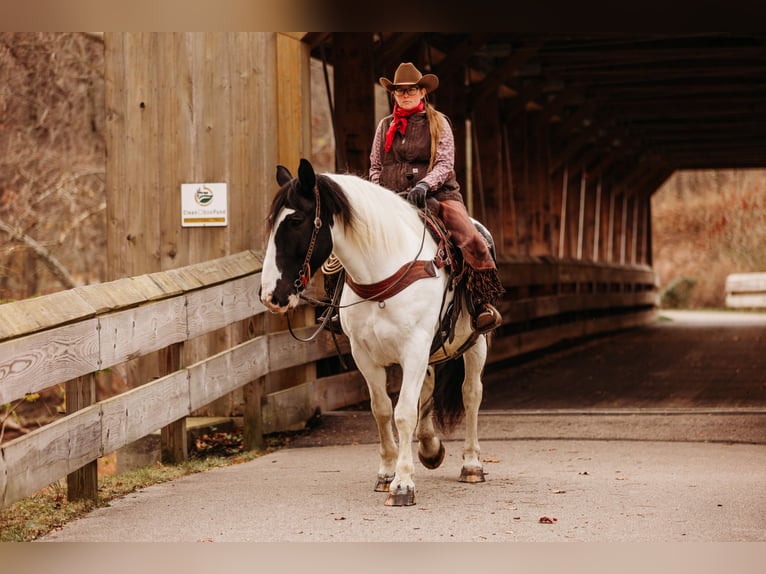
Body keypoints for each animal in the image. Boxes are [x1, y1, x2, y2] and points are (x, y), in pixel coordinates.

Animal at [260, 159, 492, 508]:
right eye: (271, 222)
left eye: (297, 220)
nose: (271, 295)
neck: (383, 273)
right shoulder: (365, 355)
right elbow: (382, 410)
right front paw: (386, 474)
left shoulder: (414, 348)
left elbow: (403, 413)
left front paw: (403, 484)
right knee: (427, 390)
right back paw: (429, 447)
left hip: (476, 342)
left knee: (471, 394)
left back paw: (472, 464)